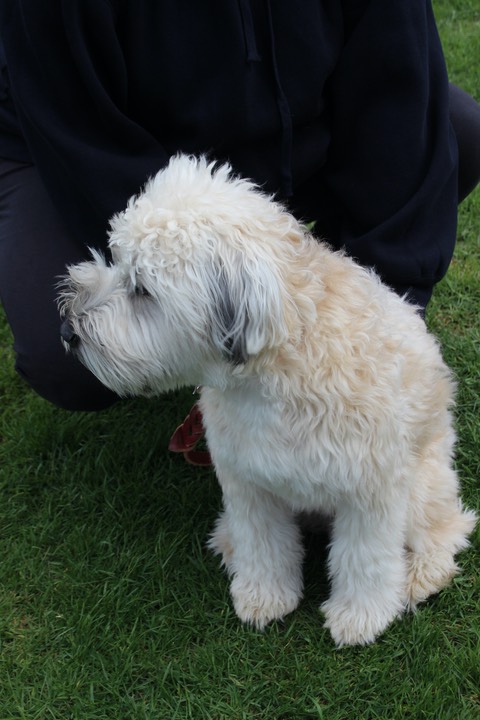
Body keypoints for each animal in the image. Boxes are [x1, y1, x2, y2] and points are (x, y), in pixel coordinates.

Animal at [58, 153, 474, 648]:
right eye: (117, 261)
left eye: (143, 289)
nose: (67, 330)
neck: (274, 377)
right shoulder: (249, 481)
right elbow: (264, 544)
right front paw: (264, 596)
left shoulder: (371, 493)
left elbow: (364, 560)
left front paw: (361, 616)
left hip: (422, 489)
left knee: (449, 531)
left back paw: (417, 577)